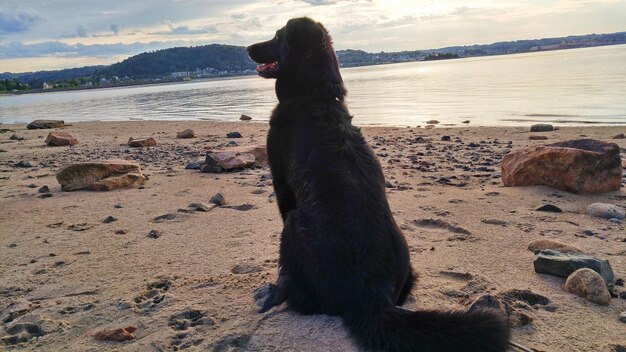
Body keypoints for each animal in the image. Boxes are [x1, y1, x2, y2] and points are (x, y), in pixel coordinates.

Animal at [246, 17, 510, 350]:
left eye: (278, 36)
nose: (247, 48)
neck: (315, 96)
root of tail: (372, 295)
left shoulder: (282, 184)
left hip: (294, 224)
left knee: (305, 298)